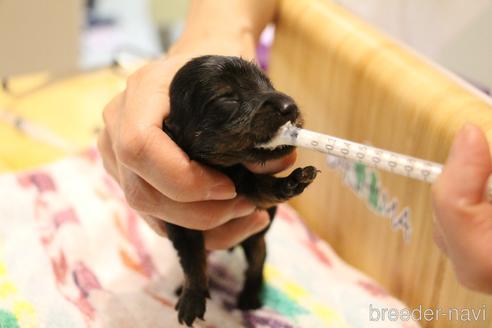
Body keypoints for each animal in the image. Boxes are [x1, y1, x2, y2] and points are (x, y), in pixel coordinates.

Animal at [160, 55, 318, 326]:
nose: (290, 106)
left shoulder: (250, 185)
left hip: (255, 240)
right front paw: (192, 296)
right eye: (226, 98)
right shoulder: (181, 224)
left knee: (257, 264)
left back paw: (250, 297)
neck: (227, 171)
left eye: (268, 84)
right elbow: (192, 260)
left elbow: (265, 188)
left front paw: (293, 181)